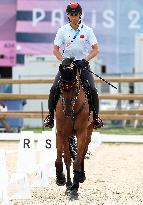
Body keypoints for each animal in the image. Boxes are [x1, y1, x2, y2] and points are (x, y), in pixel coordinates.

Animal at [54, 59, 94, 195]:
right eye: (61, 87)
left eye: (76, 86)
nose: (67, 111)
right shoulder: (62, 132)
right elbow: (65, 158)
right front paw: (64, 180)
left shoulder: (82, 132)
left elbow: (77, 159)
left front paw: (76, 185)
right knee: (64, 155)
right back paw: (65, 180)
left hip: (89, 131)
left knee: (82, 153)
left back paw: (80, 177)